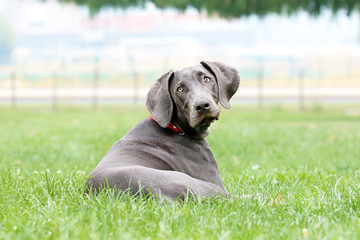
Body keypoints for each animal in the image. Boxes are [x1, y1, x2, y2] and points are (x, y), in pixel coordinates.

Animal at [86, 60, 240, 202]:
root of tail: (154, 194)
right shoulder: (216, 182)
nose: (202, 105)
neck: (176, 127)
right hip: (206, 187)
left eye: (207, 79)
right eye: (179, 89)